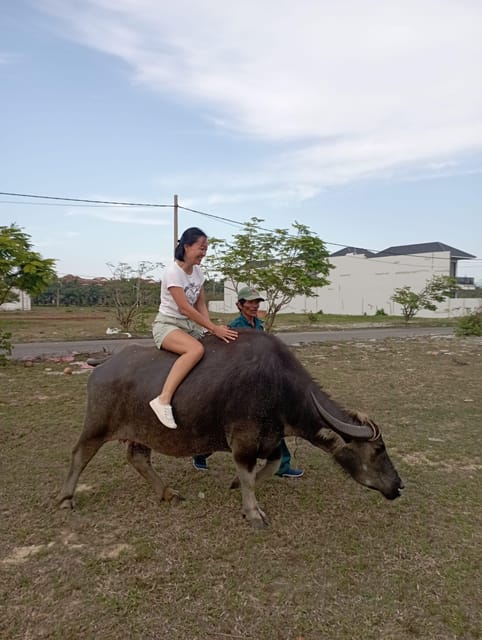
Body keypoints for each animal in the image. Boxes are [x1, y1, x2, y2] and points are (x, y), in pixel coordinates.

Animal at [60, 328, 402, 528]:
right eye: (377, 449)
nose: (398, 485)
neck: (278, 386)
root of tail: (102, 366)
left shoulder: (271, 438)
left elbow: (269, 466)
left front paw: (236, 486)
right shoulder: (244, 440)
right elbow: (249, 474)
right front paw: (253, 512)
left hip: (141, 432)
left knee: (137, 458)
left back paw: (168, 493)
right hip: (97, 425)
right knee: (79, 454)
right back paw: (66, 499)